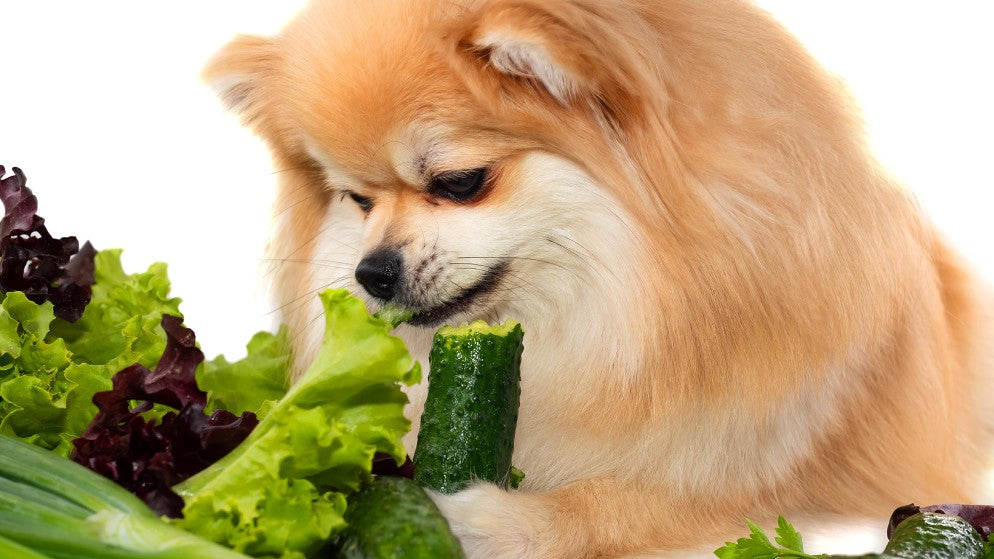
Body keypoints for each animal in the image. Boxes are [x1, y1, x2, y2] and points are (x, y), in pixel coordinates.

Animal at [203, 0, 992, 556]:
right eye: (356, 200)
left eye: (459, 182)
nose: (372, 271)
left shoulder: (771, 474)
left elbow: (613, 502)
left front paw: (489, 521)